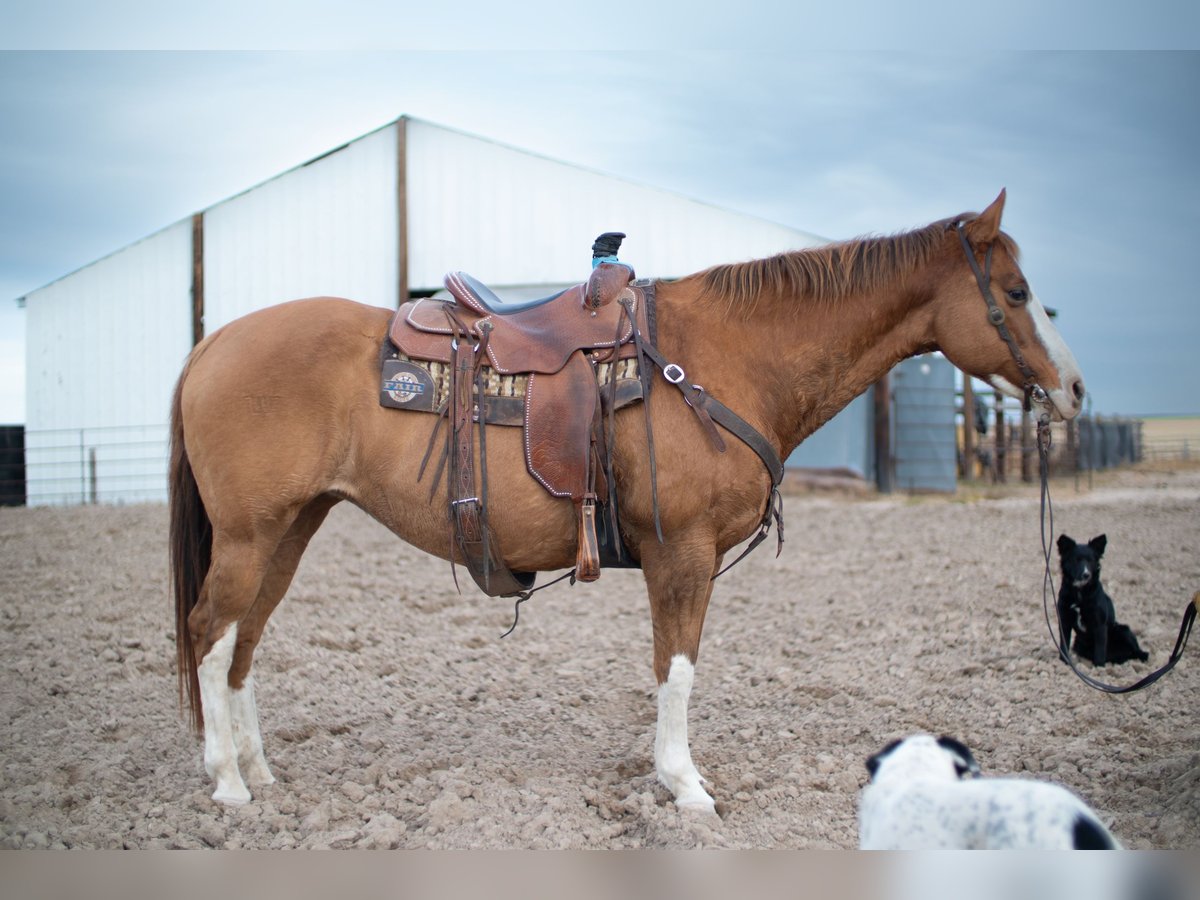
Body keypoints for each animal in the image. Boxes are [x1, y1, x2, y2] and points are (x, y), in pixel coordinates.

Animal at [171, 190, 1089, 811]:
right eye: (1013, 293)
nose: (1074, 390)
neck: (722, 358)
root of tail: (211, 344)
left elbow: (673, 667)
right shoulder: (681, 553)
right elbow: (675, 668)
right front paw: (684, 785)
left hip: (291, 528)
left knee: (243, 639)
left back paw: (259, 770)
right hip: (252, 533)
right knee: (210, 632)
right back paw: (226, 782)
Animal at [1056, 535, 1147, 672]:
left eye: (1091, 560)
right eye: (1076, 560)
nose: (1086, 575)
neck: (1080, 593)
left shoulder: (1099, 624)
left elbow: (1099, 649)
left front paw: (1099, 668)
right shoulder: (1064, 621)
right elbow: (1064, 644)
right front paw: (1064, 663)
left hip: (1123, 630)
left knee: (1138, 652)